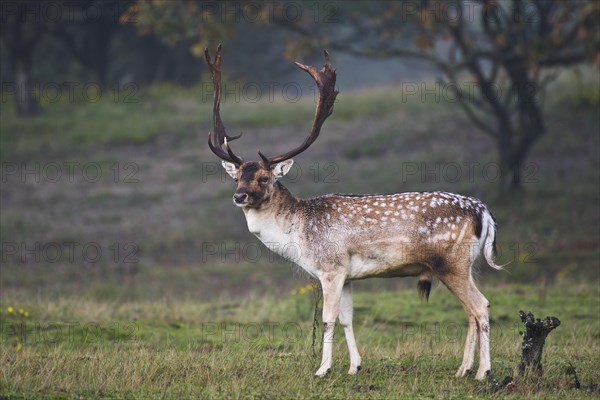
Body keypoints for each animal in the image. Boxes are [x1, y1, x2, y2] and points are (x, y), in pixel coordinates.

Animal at [205, 45, 502, 380]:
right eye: (236, 177)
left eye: (264, 178)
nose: (239, 195)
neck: (298, 234)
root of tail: (483, 211)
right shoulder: (347, 275)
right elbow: (347, 318)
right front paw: (354, 366)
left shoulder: (331, 268)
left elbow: (328, 318)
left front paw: (322, 369)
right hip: (466, 265)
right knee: (471, 311)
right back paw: (463, 369)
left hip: (452, 262)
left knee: (481, 306)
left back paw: (482, 372)